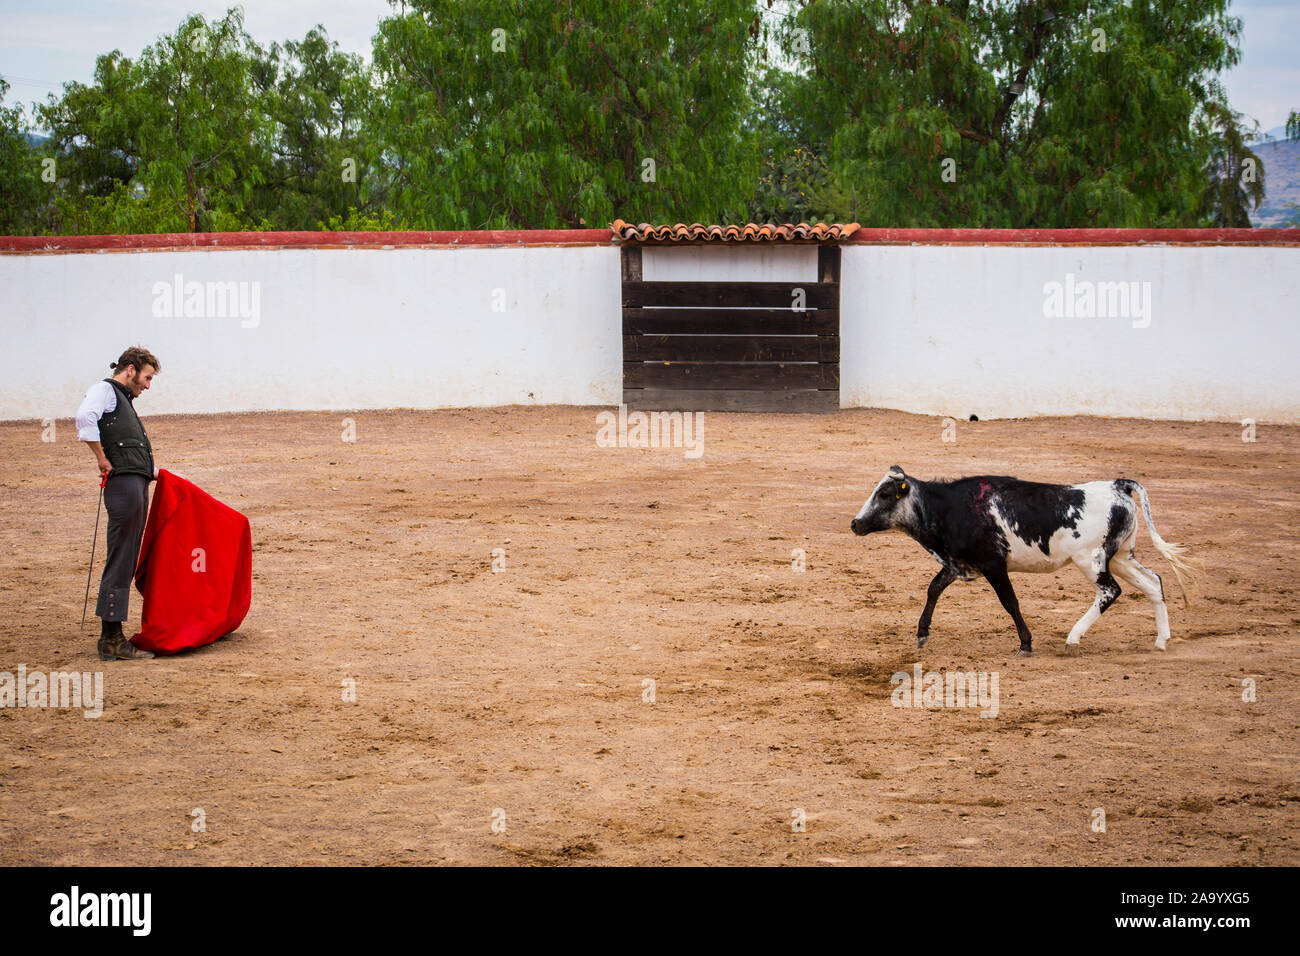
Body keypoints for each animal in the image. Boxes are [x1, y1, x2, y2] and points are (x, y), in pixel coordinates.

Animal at [850, 465, 1197, 656]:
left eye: (884, 495)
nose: (855, 523)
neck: (950, 507)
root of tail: (1117, 486)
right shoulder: (959, 563)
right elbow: (934, 588)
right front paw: (922, 633)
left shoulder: (993, 565)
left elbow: (1010, 602)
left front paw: (1026, 644)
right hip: (1122, 557)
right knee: (1153, 583)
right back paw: (1161, 641)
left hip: (1092, 560)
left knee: (1110, 592)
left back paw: (1073, 638)